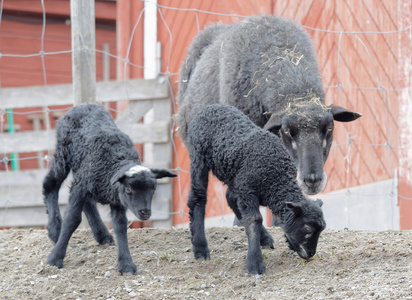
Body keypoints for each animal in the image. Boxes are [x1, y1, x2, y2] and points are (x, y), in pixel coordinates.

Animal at [42, 104, 176, 276]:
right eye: (129, 190)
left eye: (153, 188)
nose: (145, 212)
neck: (113, 162)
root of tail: (82, 105)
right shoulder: (83, 187)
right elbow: (72, 220)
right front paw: (55, 259)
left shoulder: (115, 199)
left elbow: (120, 226)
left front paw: (126, 265)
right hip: (63, 155)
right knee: (50, 184)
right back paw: (54, 229)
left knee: (88, 202)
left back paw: (103, 235)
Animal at [186, 104, 326, 276]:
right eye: (307, 228)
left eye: (322, 229)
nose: (311, 253)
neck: (276, 179)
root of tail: (209, 107)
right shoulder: (247, 190)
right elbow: (255, 219)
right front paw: (255, 264)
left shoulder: (244, 186)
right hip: (198, 158)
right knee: (198, 197)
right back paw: (200, 249)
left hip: (235, 178)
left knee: (230, 199)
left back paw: (264, 238)